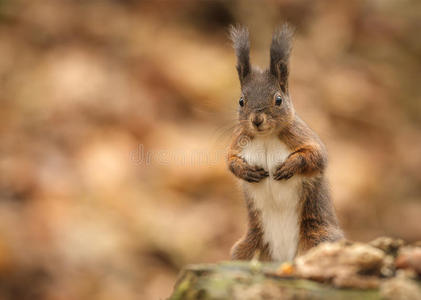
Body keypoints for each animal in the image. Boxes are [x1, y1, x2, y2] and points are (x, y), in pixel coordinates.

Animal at [226, 24, 342, 262]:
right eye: (241, 101)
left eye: (278, 99)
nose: (257, 119)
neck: (266, 138)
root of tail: (284, 258)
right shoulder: (238, 142)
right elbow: (229, 161)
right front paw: (246, 171)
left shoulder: (301, 136)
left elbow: (317, 157)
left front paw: (289, 166)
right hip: (248, 247)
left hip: (319, 238)